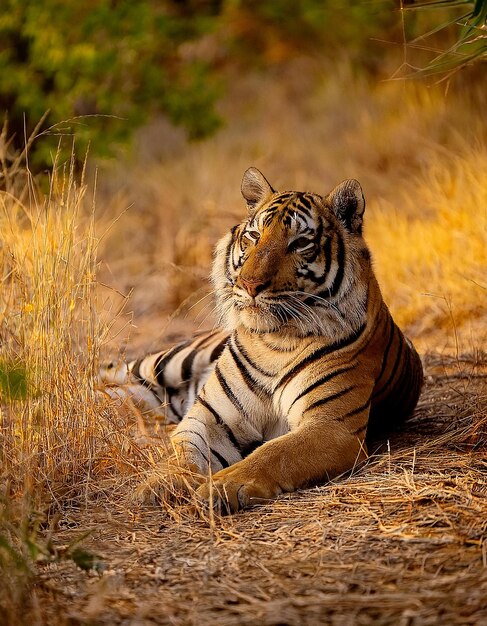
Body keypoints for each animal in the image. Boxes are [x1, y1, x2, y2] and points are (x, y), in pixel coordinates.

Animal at [127, 167, 428, 512]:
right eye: (254, 236)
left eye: (300, 243)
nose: (249, 284)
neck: (274, 343)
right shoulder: (208, 418)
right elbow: (186, 453)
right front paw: (158, 483)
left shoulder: (331, 427)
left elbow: (273, 454)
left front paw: (222, 486)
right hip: (171, 361)